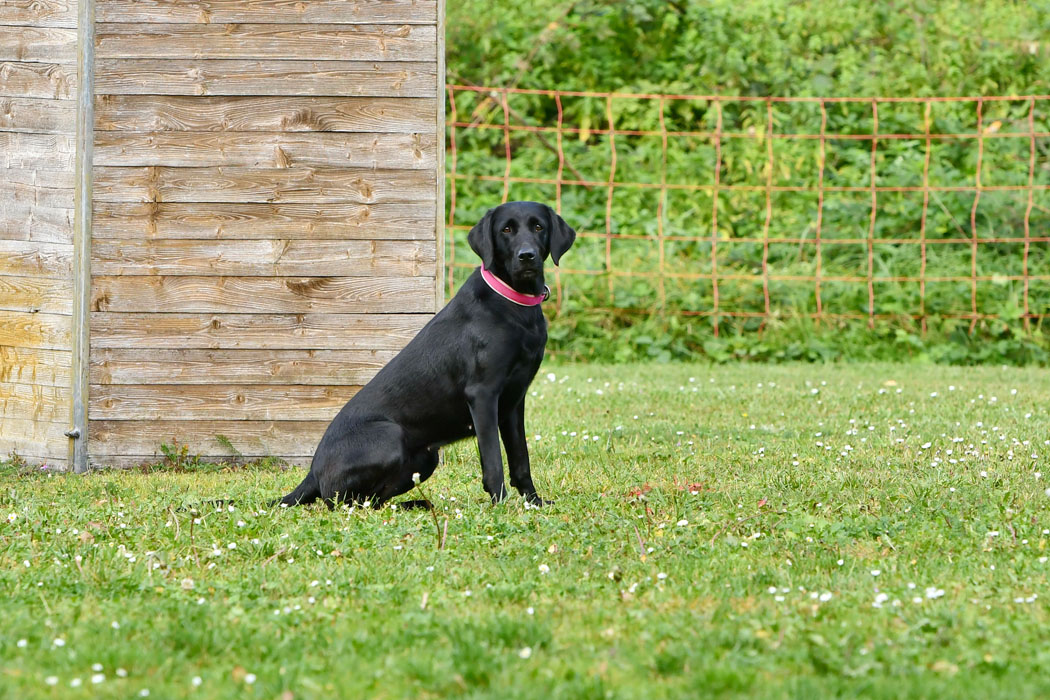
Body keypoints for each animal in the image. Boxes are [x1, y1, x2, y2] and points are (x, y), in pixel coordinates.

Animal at [275, 202, 575, 510]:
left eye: (538, 227)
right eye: (506, 230)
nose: (527, 256)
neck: (513, 305)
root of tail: (312, 473)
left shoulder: (515, 401)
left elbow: (520, 460)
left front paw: (534, 503)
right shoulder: (483, 395)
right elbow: (494, 461)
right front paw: (501, 506)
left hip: (426, 456)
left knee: (376, 501)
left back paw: (417, 505)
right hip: (390, 436)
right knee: (348, 503)